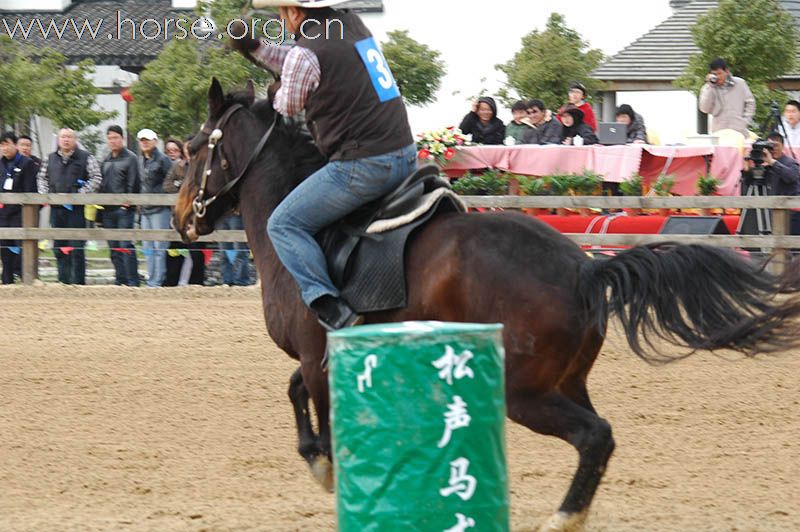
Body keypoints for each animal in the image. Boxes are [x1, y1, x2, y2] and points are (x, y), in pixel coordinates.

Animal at [173, 80, 800, 532]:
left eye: (198, 146)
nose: (181, 219)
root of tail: (584, 267)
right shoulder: (324, 356)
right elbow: (298, 391)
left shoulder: (315, 352)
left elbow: (309, 401)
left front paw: (325, 466)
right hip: (564, 381)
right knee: (598, 438)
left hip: (524, 392)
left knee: (595, 436)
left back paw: (563, 518)